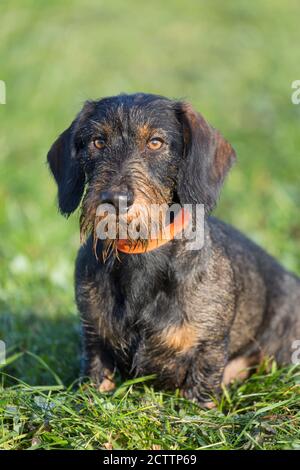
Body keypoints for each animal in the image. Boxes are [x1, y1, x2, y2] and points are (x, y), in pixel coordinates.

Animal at [47, 92, 300, 408]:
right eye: (98, 141)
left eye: (156, 142)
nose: (115, 199)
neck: (141, 256)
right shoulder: (94, 337)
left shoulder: (208, 348)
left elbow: (200, 391)